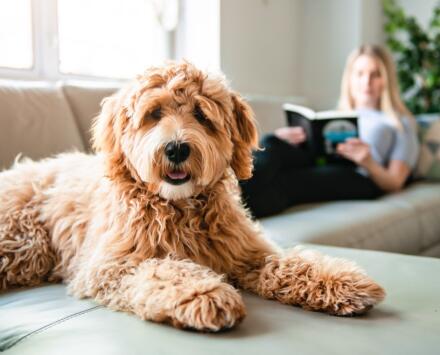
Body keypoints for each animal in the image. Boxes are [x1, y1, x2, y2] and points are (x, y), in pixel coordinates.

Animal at [0, 62, 384, 332]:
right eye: (154, 114)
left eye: (201, 115)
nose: (176, 148)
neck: (179, 206)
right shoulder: (110, 266)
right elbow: (162, 269)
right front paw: (204, 294)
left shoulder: (247, 253)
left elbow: (290, 262)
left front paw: (342, 281)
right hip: (25, 244)